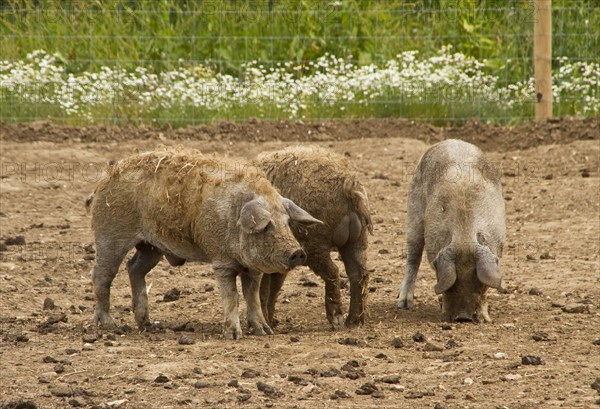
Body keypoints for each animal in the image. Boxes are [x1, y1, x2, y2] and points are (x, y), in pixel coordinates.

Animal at [86, 147, 322, 338]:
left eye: (287, 222)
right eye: (266, 226)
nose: (298, 252)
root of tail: (102, 182)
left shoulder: (253, 268)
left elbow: (252, 295)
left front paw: (265, 332)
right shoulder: (221, 260)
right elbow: (232, 295)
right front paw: (233, 336)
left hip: (151, 246)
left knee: (134, 268)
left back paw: (148, 325)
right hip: (110, 235)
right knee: (101, 274)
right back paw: (111, 326)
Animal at [254, 145, 376, 326]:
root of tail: (348, 184)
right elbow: (271, 287)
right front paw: (270, 322)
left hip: (314, 243)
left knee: (333, 271)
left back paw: (336, 320)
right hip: (358, 240)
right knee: (359, 274)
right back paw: (354, 322)